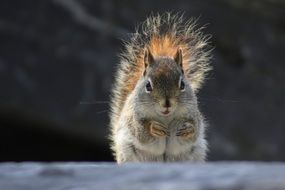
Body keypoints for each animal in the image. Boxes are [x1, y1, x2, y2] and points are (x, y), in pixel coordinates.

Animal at [108, 13, 211, 163]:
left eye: (182, 84)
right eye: (148, 86)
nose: (167, 103)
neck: (166, 117)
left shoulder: (193, 114)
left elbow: (195, 130)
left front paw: (188, 129)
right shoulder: (133, 117)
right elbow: (140, 132)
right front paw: (153, 127)